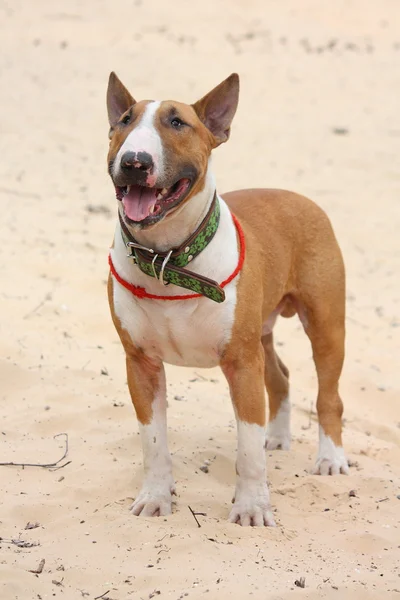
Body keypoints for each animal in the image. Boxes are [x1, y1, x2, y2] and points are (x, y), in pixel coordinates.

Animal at [105, 72, 346, 528]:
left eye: (177, 122)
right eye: (124, 120)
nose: (134, 162)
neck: (169, 259)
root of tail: (299, 196)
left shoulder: (241, 361)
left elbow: (247, 450)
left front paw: (251, 508)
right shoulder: (139, 363)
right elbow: (153, 442)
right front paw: (156, 497)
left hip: (325, 326)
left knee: (329, 396)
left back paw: (331, 458)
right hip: (262, 330)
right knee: (281, 376)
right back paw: (278, 438)